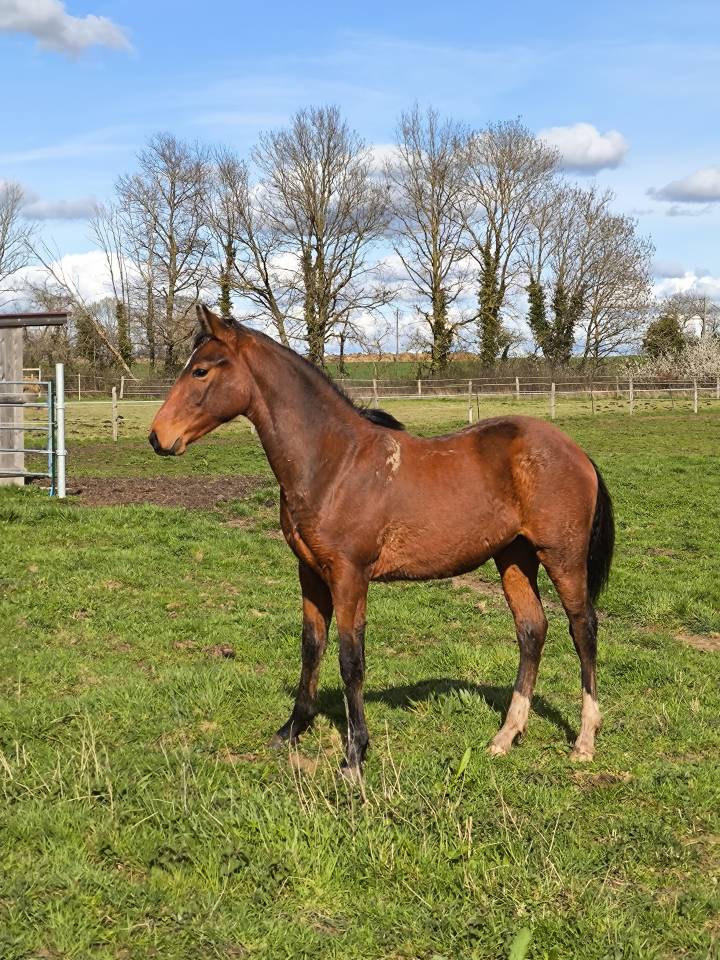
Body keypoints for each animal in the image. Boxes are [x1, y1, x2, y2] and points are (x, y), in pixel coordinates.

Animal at [149, 305, 614, 775]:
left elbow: (350, 659)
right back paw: (505, 736)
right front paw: (292, 730)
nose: (157, 437)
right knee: (532, 629)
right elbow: (311, 647)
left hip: (562, 557)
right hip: (514, 557)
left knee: (583, 629)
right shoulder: (310, 573)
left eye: (202, 370)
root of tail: (576, 452)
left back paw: (584, 740)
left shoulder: (349, 575)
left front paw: (355, 753)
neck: (334, 462)